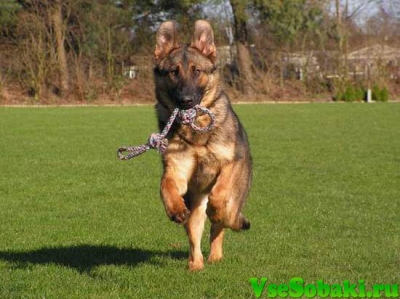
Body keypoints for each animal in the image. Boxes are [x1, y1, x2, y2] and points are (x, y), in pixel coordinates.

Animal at [154, 19, 252, 270]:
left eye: (196, 71)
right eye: (173, 72)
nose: (185, 101)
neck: (196, 130)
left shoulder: (230, 163)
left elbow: (219, 194)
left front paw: (216, 210)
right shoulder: (176, 169)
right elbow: (165, 185)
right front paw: (174, 208)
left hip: (235, 200)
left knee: (224, 222)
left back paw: (216, 251)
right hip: (195, 206)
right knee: (195, 233)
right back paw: (196, 264)